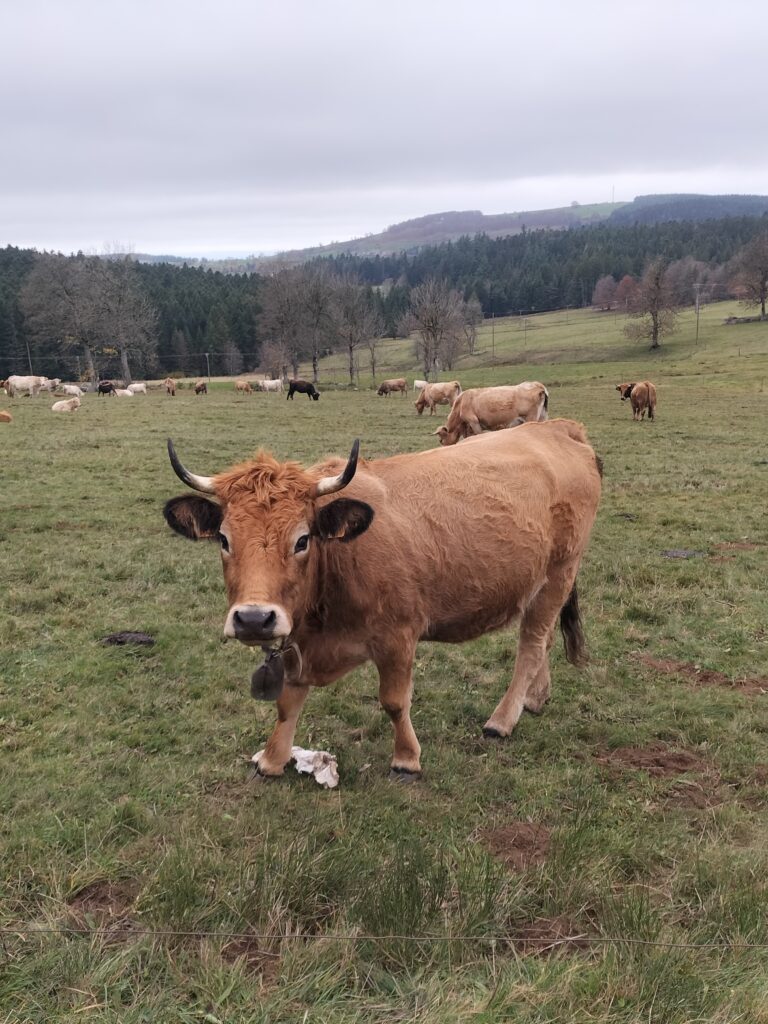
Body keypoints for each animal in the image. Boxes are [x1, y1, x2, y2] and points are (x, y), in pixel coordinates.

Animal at [162, 419, 602, 780]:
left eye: (302, 540)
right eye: (223, 539)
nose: (254, 619)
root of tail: (559, 429)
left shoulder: (398, 636)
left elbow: (393, 701)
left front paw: (406, 758)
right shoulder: (297, 640)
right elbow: (287, 700)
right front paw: (272, 758)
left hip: (559, 572)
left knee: (532, 645)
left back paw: (503, 718)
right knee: (544, 638)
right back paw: (536, 699)